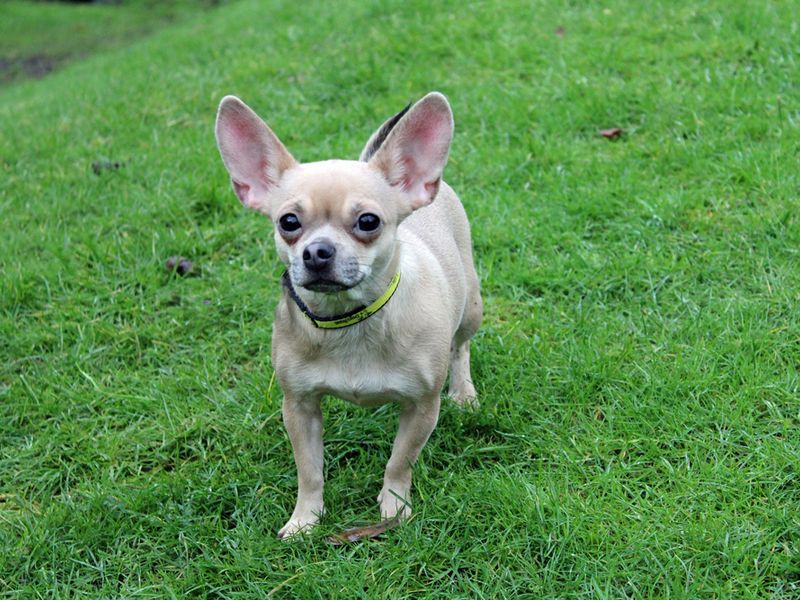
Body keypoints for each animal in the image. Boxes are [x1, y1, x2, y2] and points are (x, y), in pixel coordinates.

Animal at [214, 91, 482, 536]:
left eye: (368, 221)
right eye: (288, 222)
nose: (317, 251)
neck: (350, 320)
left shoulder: (422, 408)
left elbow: (399, 462)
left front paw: (394, 508)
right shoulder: (299, 407)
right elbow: (309, 470)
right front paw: (305, 519)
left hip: (471, 309)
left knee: (460, 348)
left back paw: (463, 392)